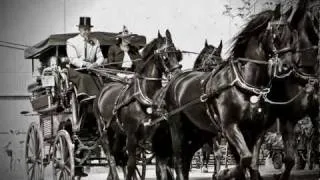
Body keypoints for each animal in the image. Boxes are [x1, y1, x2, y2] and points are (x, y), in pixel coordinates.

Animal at [95, 29, 182, 180]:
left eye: (176, 53)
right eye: (164, 56)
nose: (178, 74)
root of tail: (103, 89)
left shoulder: (158, 138)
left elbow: (162, 168)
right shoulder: (131, 137)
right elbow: (131, 166)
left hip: (119, 134)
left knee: (118, 156)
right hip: (105, 131)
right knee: (111, 157)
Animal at [162, 5, 292, 180]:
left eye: (291, 34)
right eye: (277, 31)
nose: (287, 66)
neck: (245, 85)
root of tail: (176, 80)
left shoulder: (257, 131)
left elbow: (251, 162)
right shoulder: (230, 127)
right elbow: (244, 158)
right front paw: (223, 173)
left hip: (198, 132)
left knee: (188, 157)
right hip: (178, 128)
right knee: (179, 158)